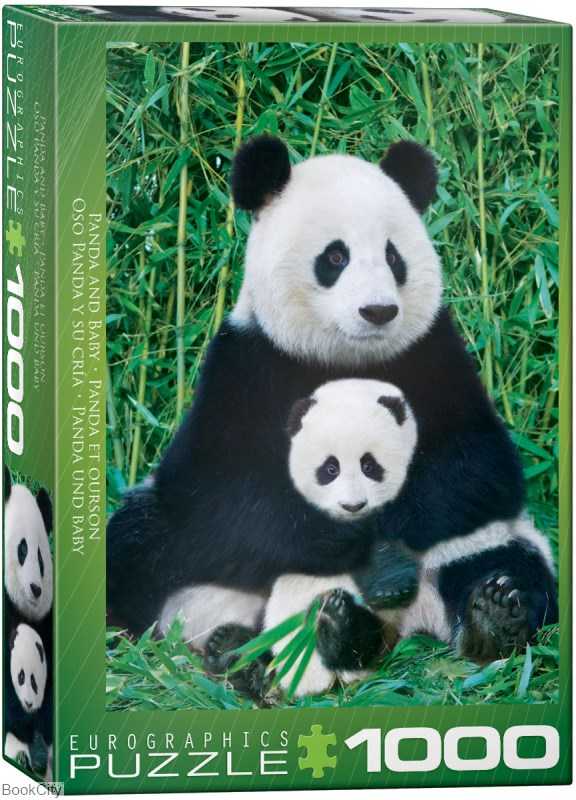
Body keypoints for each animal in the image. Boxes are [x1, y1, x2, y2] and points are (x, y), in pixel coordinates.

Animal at [107, 135, 557, 689]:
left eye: (392, 256)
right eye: (336, 256)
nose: (378, 311)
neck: (344, 357)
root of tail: (405, 626)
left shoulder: (435, 354)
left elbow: (479, 468)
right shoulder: (244, 365)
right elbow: (218, 495)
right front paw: (360, 545)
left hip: (486, 543)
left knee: (510, 561)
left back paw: (489, 617)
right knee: (136, 544)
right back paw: (242, 650)